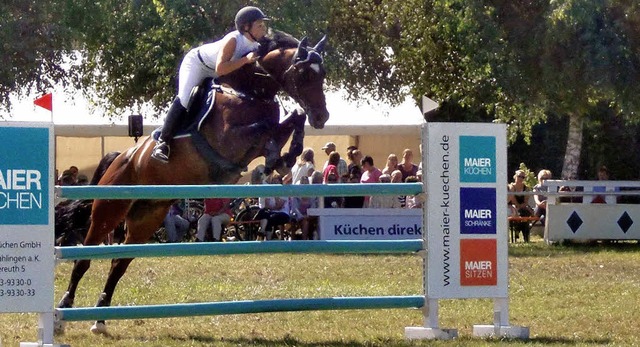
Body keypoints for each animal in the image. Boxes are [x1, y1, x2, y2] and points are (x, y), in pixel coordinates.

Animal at [55, 32, 330, 334]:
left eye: (323, 74)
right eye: (305, 74)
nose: (322, 117)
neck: (250, 91)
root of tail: (122, 157)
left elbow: (292, 120)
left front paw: (286, 157)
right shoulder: (229, 139)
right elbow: (264, 129)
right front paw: (276, 156)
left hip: (146, 219)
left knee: (118, 264)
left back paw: (100, 319)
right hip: (108, 211)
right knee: (84, 258)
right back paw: (65, 308)